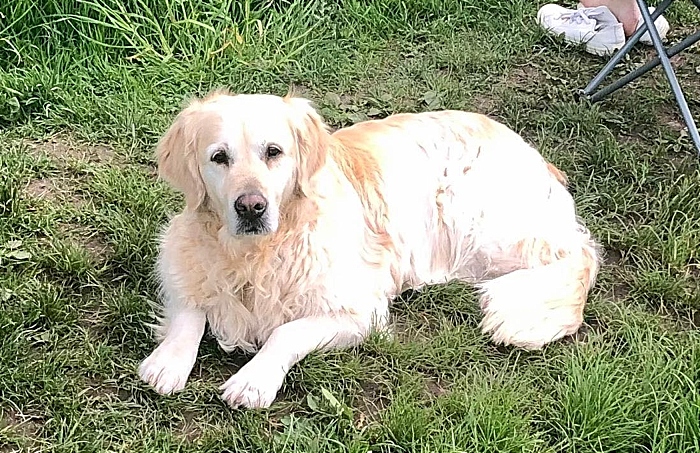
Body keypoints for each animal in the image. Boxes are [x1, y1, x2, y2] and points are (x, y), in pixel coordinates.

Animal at [138, 90, 600, 408]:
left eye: (273, 152)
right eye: (219, 157)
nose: (251, 207)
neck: (258, 254)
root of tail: (531, 151)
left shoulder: (360, 312)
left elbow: (286, 332)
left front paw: (253, 380)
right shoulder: (181, 261)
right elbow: (192, 311)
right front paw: (168, 361)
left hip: (478, 220)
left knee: (580, 254)